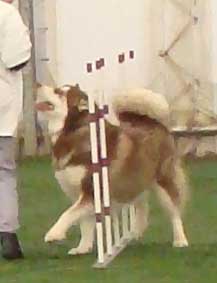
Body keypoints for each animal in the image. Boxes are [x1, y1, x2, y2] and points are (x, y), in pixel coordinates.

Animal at [36, 85, 188, 256]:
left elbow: (68, 214)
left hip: (163, 182)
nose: (38, 85)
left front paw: (54, 234)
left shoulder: (92, 191)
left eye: (59, 92)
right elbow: (85, 223)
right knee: (143, 206)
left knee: (174, 211)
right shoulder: (84, 194)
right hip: (134, 180)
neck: (72, 133)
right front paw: (83, 248)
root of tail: (153, 122)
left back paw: (180, 240)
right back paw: (136, 232)